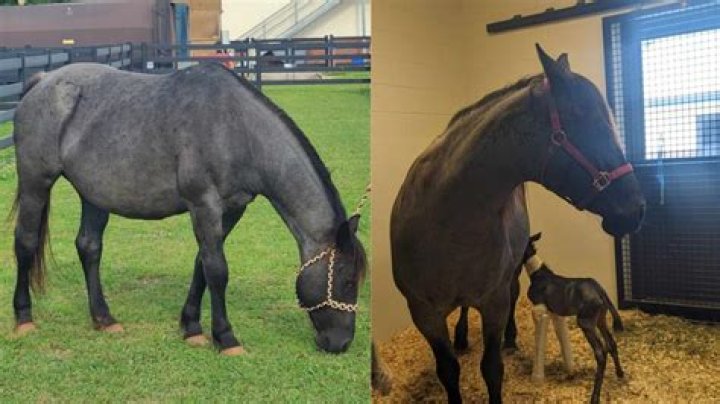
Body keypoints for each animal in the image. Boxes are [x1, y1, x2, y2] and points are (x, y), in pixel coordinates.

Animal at [10, 62, 366, 355]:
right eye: (348, 281)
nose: (341, 343)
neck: (236, 128)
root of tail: (43, 80)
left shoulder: (231, 209)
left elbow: (203, 264)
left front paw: (192, 327)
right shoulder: (203, 203)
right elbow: (218, 270)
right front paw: (226, 338)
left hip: (94, 194)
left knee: (89, 247)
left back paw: (104, 318)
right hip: (35, 183)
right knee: (25, 242)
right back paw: (24, 318)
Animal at [523, 232, 624, 404]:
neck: (536, 273)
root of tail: (601, 292)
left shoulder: (540, 306)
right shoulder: (556, 312)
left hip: (585, 322)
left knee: (601, 352)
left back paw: (595, 397)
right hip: (600, 319)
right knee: (611, 343)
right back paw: (620, 373)